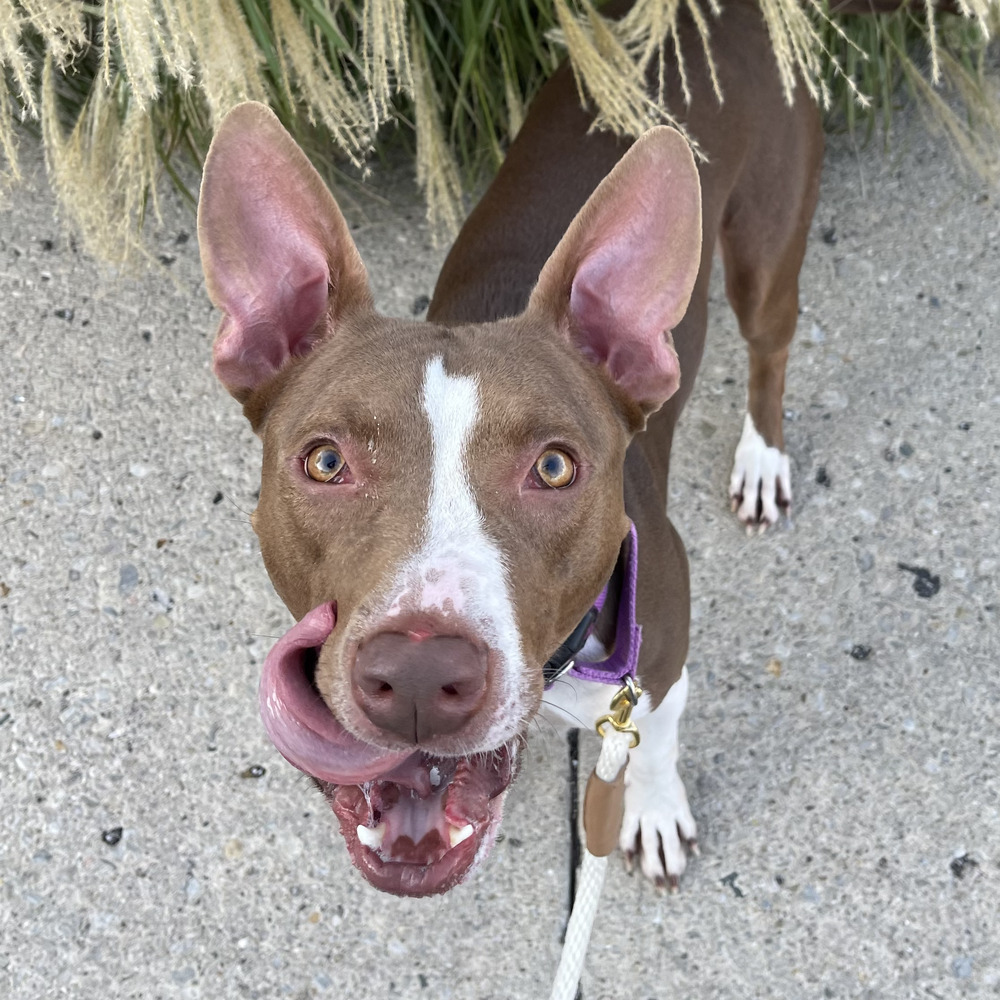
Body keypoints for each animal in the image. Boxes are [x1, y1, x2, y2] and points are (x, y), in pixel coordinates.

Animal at [195, 0, 820, 900]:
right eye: (325, 461)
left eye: (554, 467)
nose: (419, 677)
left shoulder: (662, 667)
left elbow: (655, 745)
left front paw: (652, 812)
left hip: (767, 247)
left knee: (770, 349)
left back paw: (763, 460)